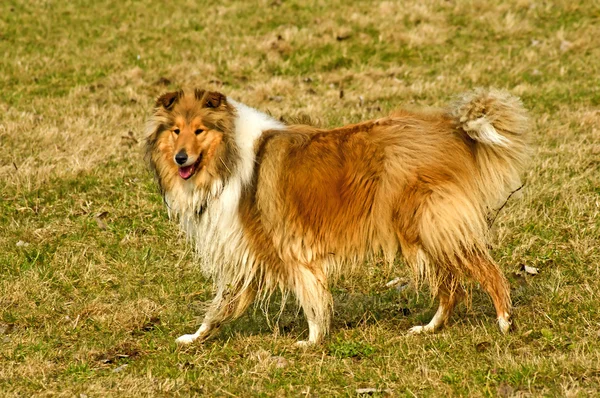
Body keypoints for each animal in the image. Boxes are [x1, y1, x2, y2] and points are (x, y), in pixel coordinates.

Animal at [146, 87, 528, 346]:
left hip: (430, 224)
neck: (229, 158)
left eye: (199, 130)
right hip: (425, 230)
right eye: (176, 130)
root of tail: (448, 127)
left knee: (484, 270)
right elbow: (219, 307)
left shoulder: (289, 248)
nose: (181, 159)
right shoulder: (249, 256)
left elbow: (311, 297)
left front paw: (312, 342)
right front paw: (194, 338)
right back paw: (430, 327)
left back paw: (505, 321)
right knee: (451, 285)